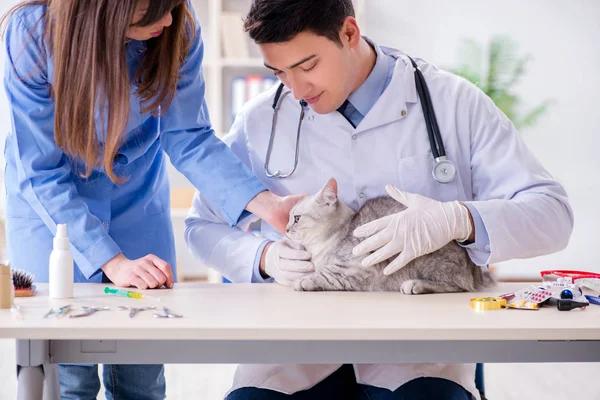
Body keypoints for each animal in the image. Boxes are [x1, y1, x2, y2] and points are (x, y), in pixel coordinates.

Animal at [286, 179, 492, 294]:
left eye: (296, 218)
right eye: (288, 218)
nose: (286, 229)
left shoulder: (354, 268)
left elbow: (325, 275)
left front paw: (303, 281)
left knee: (460, 285)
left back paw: (416, 285)